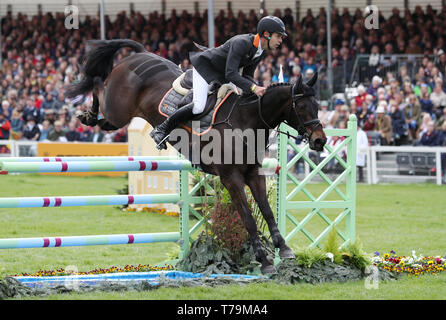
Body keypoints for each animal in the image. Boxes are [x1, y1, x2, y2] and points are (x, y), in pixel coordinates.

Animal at [66, 38, 328, 274]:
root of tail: (139, 55)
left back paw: (91, 117)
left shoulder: (254, 174)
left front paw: (284, 249)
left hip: (116, 119)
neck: (247, 120)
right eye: (302, 107)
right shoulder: (231, 178)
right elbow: (248, 218)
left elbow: (267, 211)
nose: (320, 140)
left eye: (318, 105)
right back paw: (89, 113)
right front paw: (264, 262)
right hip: (118, 109)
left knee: (104, 116)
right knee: (98, 83)